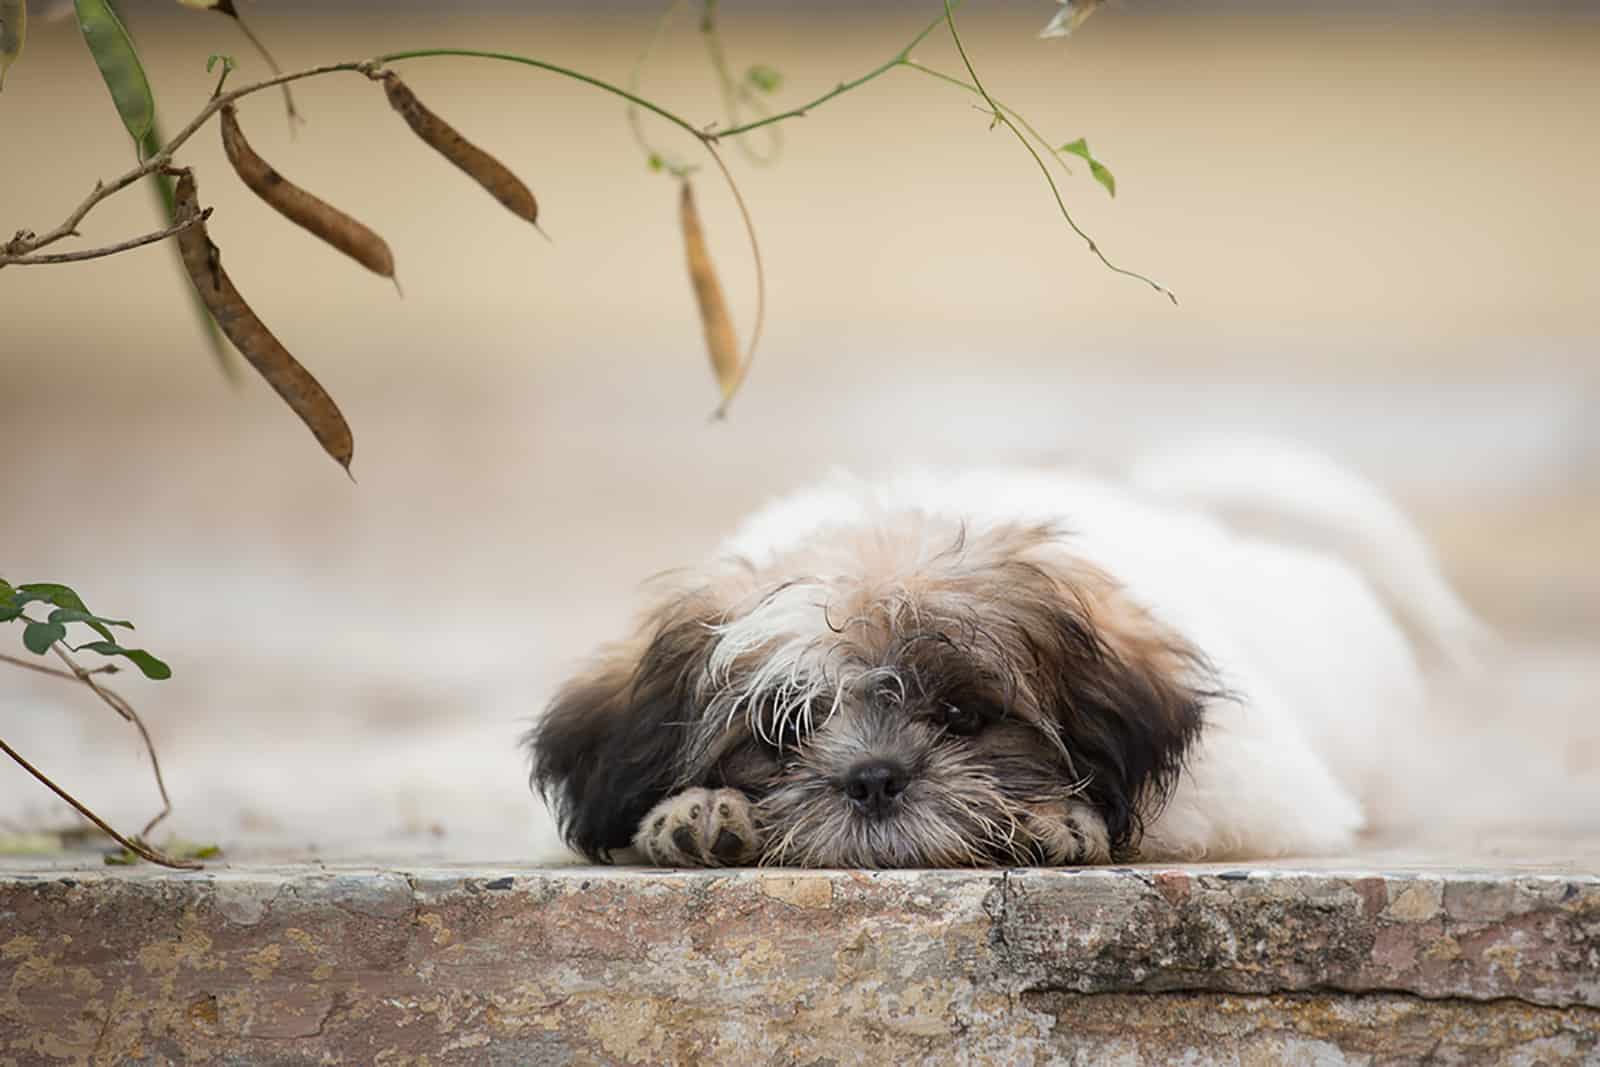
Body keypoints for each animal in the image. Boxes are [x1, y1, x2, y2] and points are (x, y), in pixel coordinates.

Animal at [524, 441, 1472, 870]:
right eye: (784, 731)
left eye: (962, 716)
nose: (873, 779)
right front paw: (695, 813)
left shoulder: (1261, 789)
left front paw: (1054, 819)